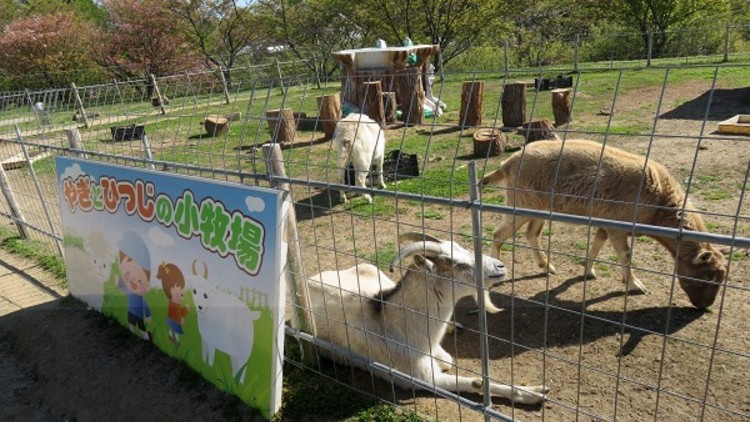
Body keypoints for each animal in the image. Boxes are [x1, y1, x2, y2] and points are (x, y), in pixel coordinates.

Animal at [308, 232, 548, 404]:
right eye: (458, 265)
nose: (500, 266)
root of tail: (312, 277)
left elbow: (449, 360)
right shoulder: (421, 378)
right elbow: (475, 381)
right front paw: (533, 393)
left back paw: (453, 326)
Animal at [482, 140, 728, 308]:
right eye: (708, 276)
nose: (704, 306)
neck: (660, 205)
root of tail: (507, 164)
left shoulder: (605, 222)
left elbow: (597, 244)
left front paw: (588, 271)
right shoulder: (617, 226)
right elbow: (626, 255)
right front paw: (634, 285)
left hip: (538, 207)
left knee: (532, 234)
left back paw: (547, 266)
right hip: (520, 202)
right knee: (498, 234)